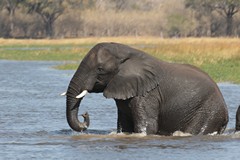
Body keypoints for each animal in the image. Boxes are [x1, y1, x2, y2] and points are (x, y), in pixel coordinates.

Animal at [65, 42, 229, 135]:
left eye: (99, 69)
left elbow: (147, 127)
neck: (127, 53)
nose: (85, 114)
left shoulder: (148, 94)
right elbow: (124, 126)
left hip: (208, 112)